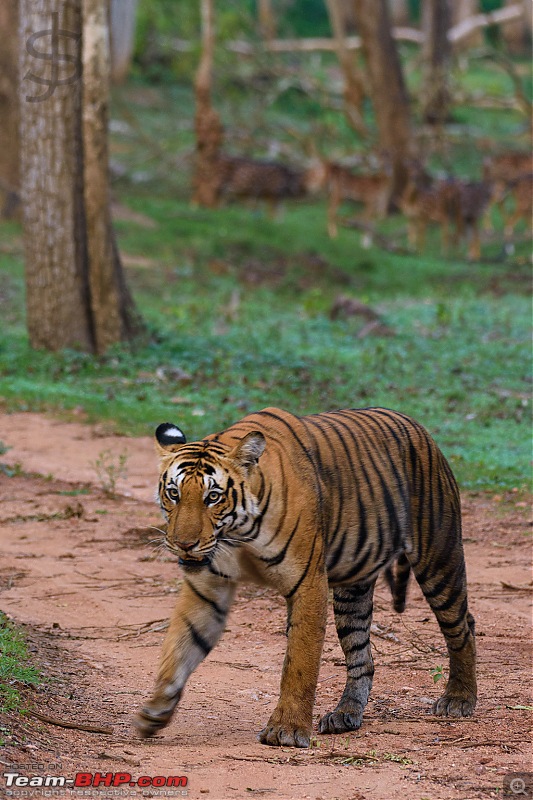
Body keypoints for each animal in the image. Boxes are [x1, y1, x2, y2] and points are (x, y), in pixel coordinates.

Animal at [135, 410, 476, 748]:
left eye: (213, 497)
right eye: (174, 494)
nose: (184, 544)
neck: (238, 533)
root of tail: (418, 427)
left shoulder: (308, 583)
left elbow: (300, 661)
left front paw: (286, 729)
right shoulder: (208, 585)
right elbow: (180, 646)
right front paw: (156, 711)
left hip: (438, 559)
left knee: (463, 626)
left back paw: (459, 698)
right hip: (352, 590)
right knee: (362, 658)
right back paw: (345, 714)